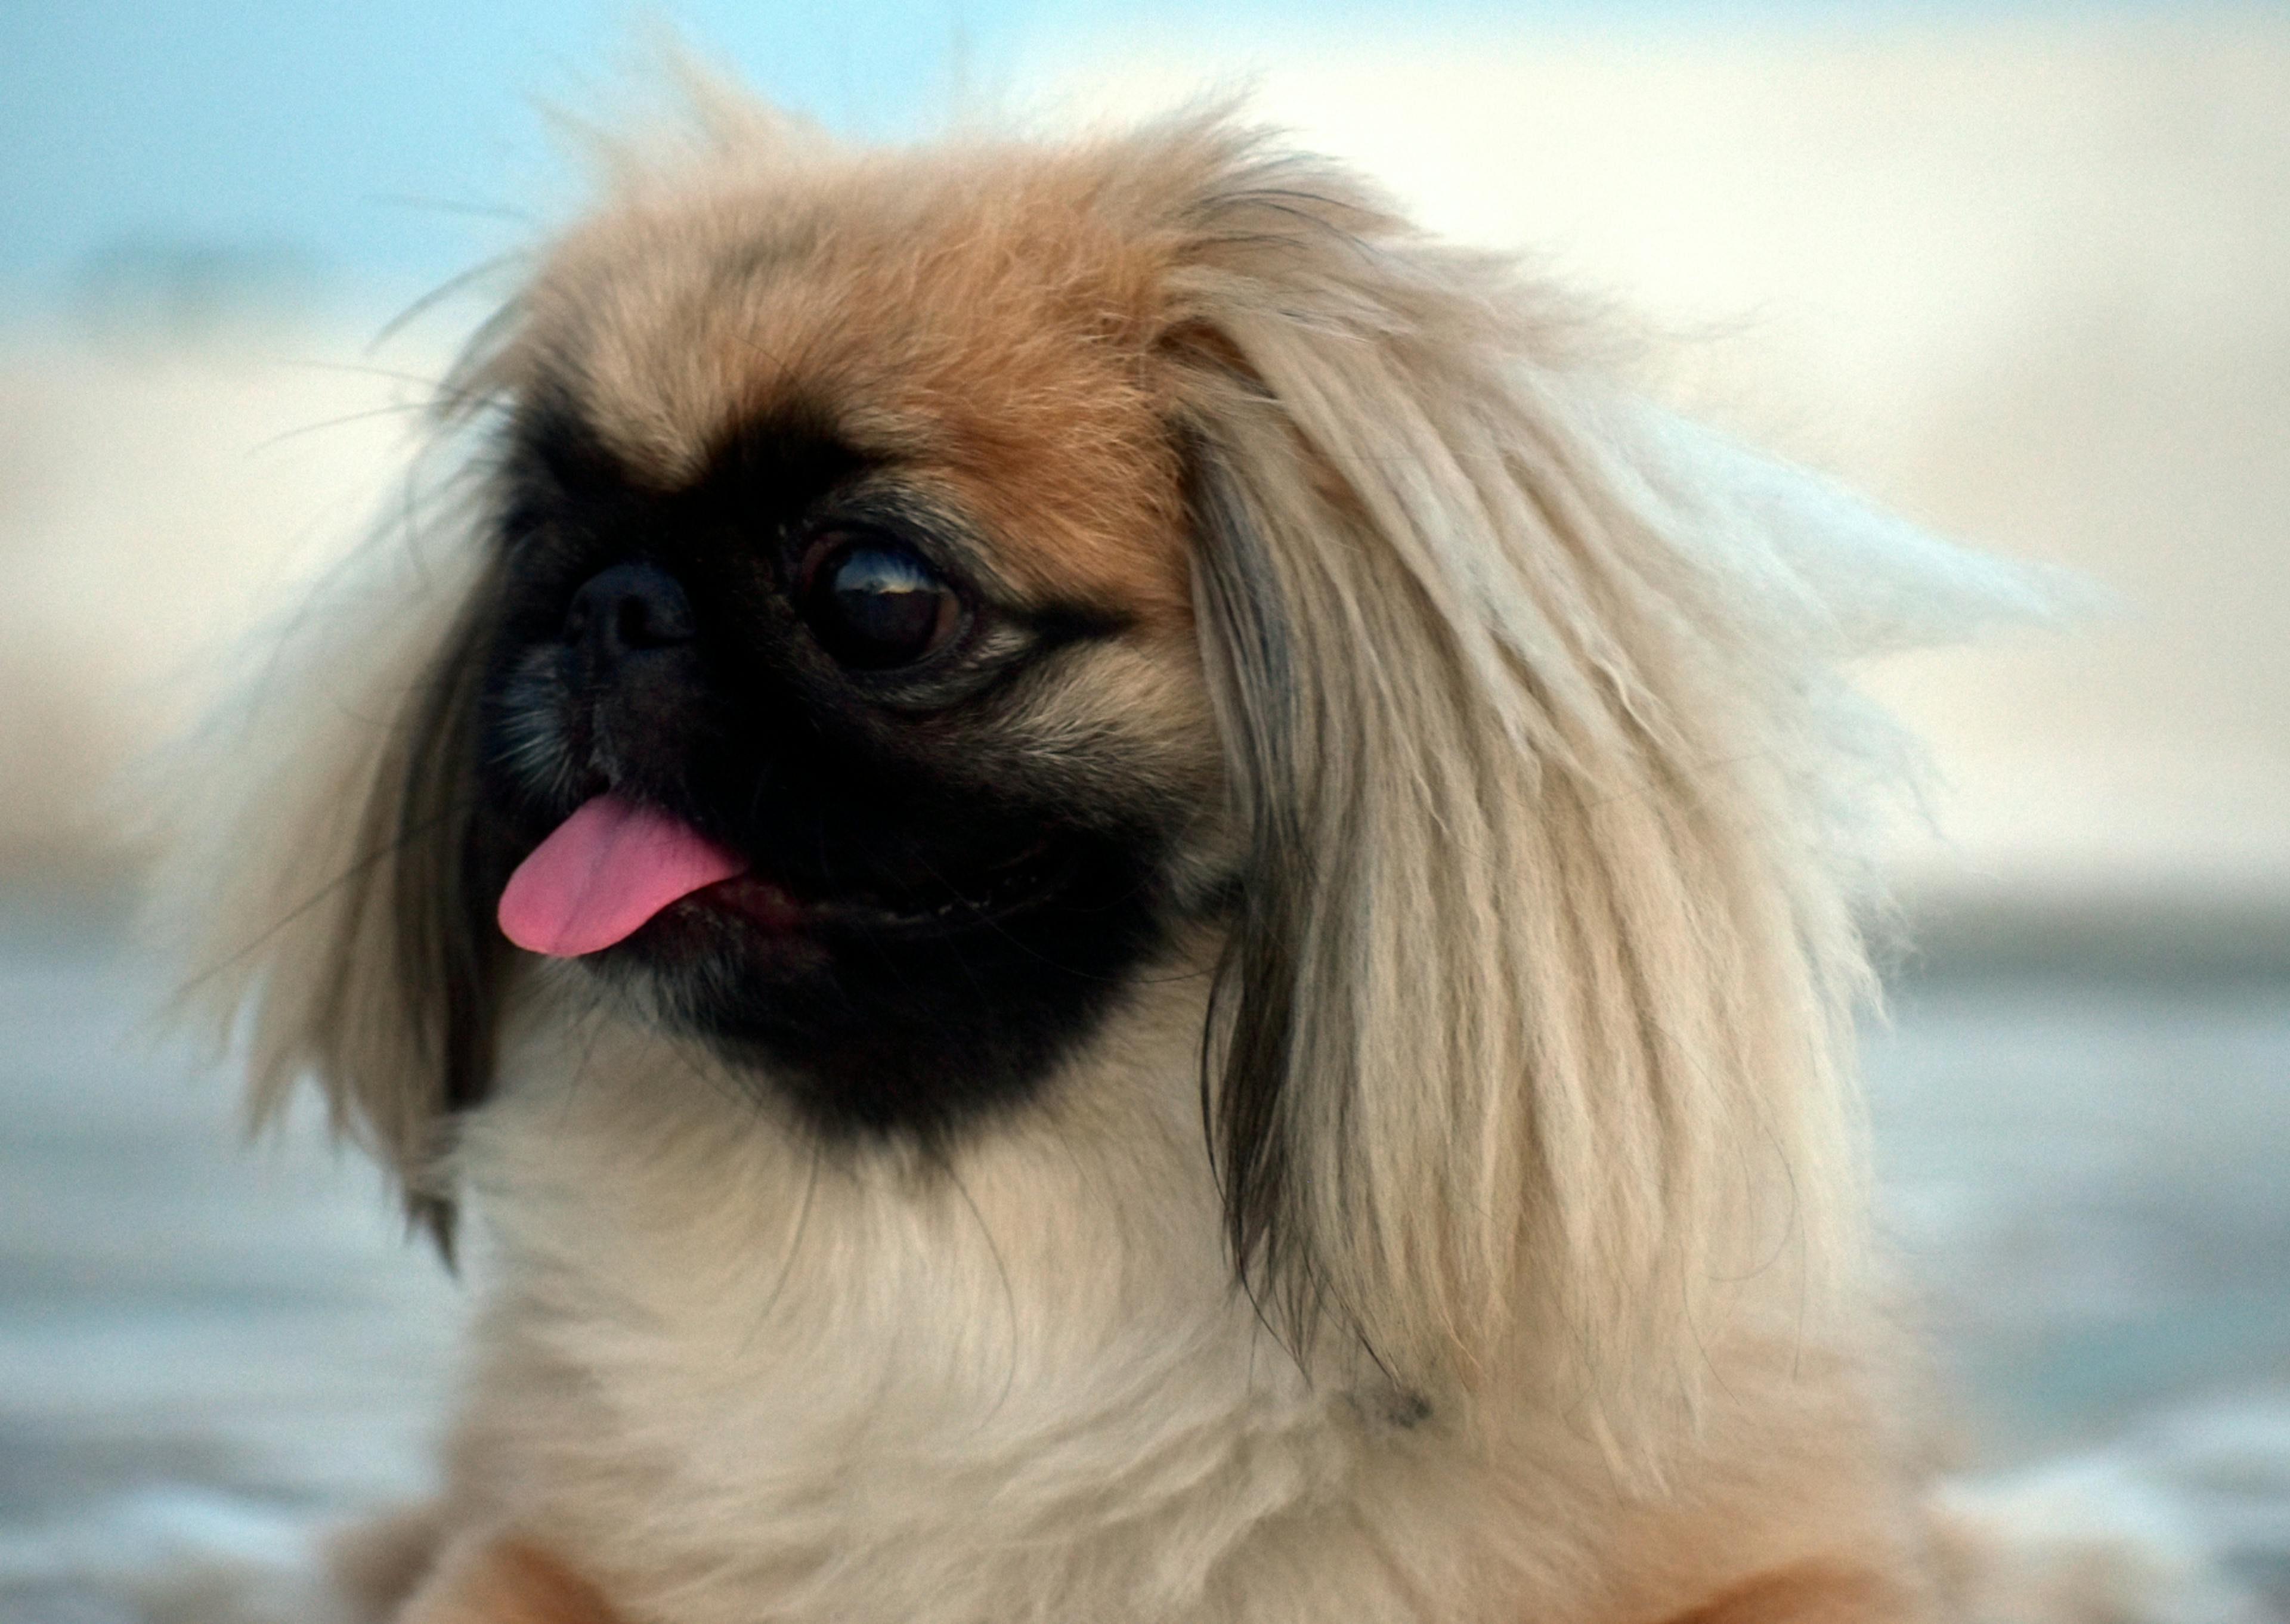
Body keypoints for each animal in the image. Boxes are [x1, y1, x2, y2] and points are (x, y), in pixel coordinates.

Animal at [183, 85, 2079, 1622]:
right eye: (533, 536)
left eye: (877, 595)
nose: (606, 609)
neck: (993, 1274)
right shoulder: (529, 1542)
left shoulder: (1805, 1556)